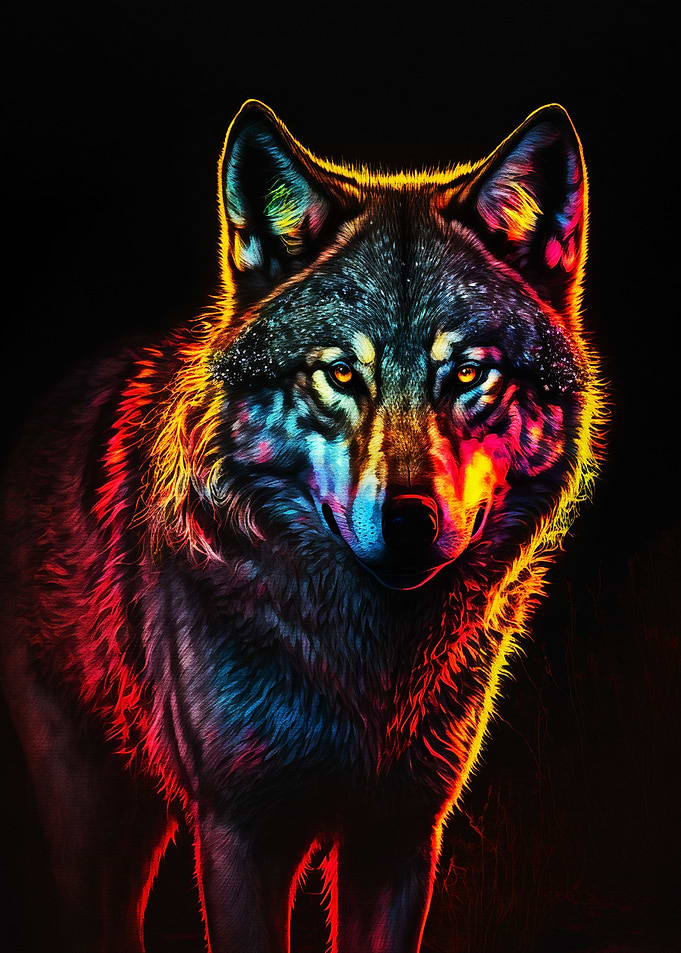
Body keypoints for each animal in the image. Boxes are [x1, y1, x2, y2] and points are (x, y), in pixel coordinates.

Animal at [0, 100, 602, 952]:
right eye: (340, 372)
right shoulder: (239, 833)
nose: (408, 521)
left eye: (466, 373)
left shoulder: (399, 836)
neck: (372, 667)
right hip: (90, 813)